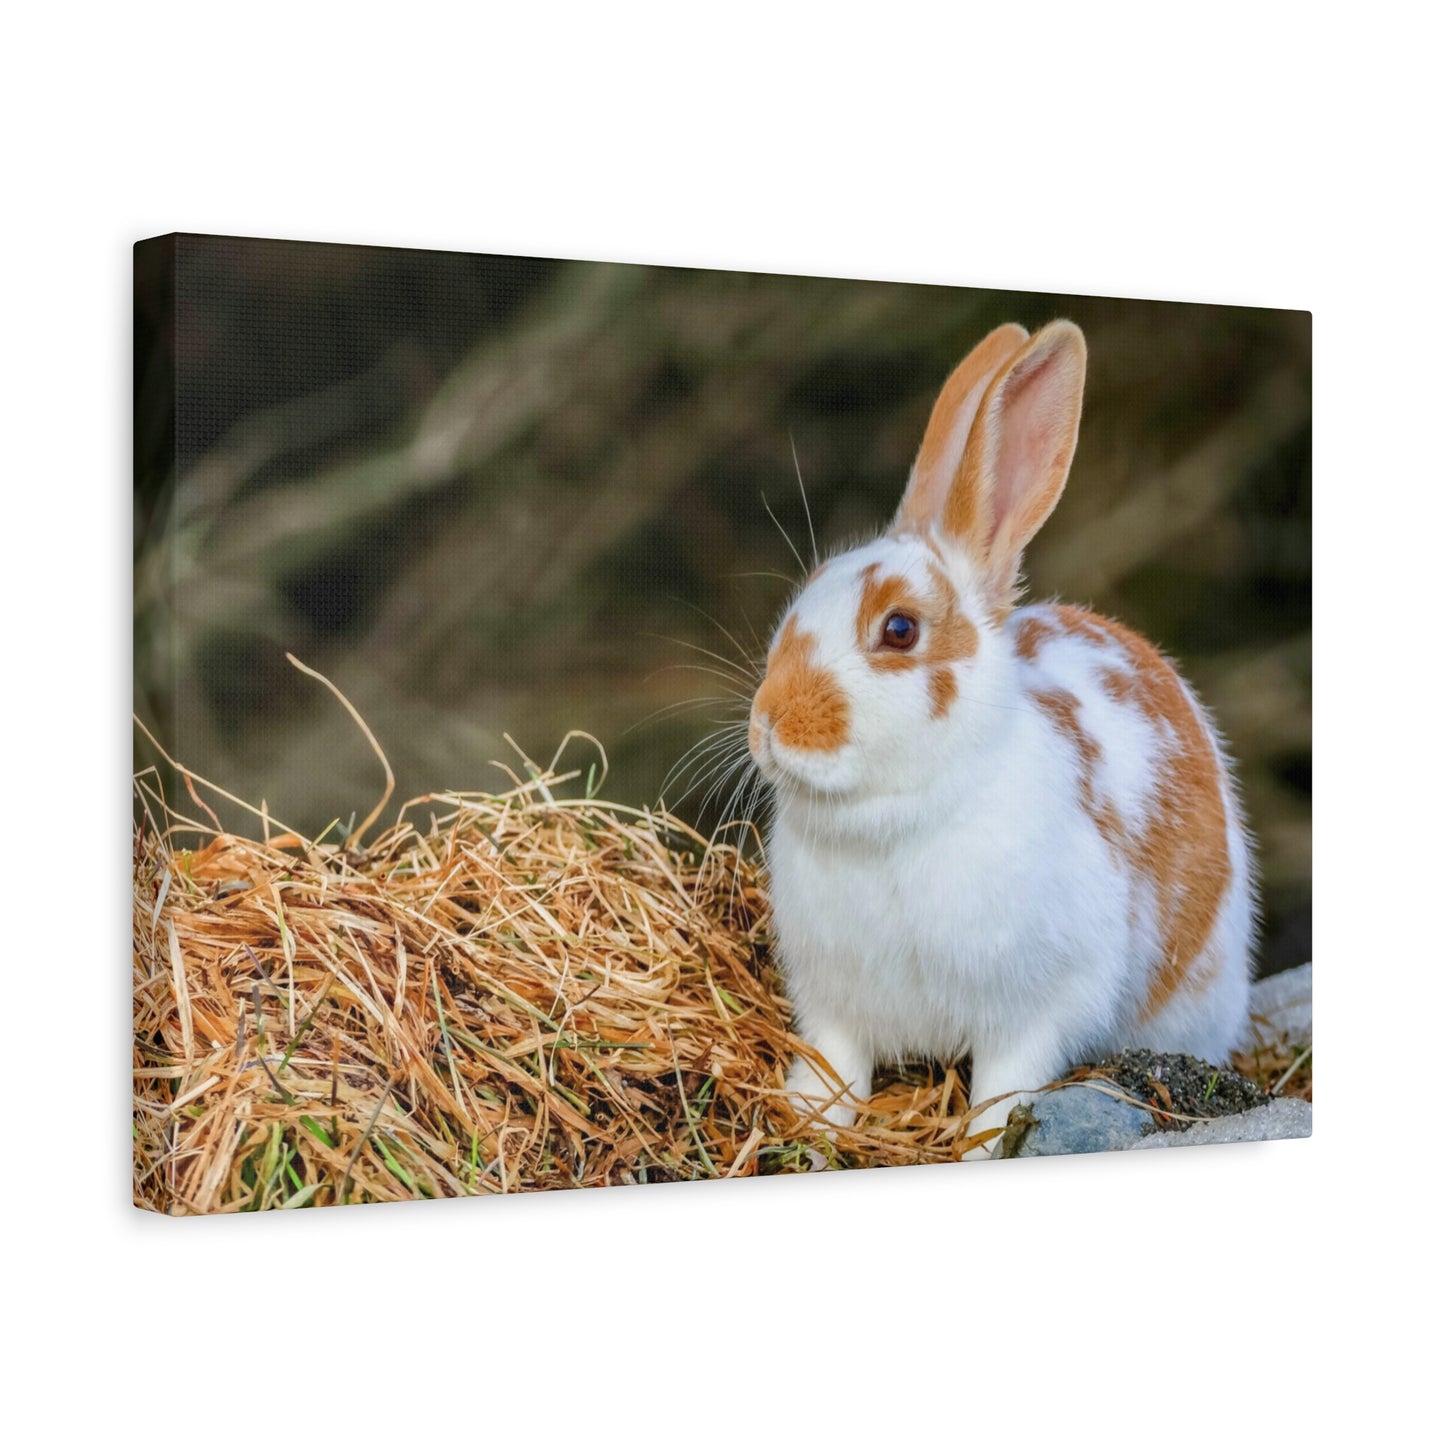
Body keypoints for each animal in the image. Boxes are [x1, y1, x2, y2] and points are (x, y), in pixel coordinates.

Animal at [748, 320, 1255, 1158]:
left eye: (898, 629)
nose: (768, 722)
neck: (891, 823)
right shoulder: (833, 1006)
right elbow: (832, 1073)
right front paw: (807, 1130)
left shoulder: (1035, 1012)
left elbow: (1002, 1088)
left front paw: (982, 1146)